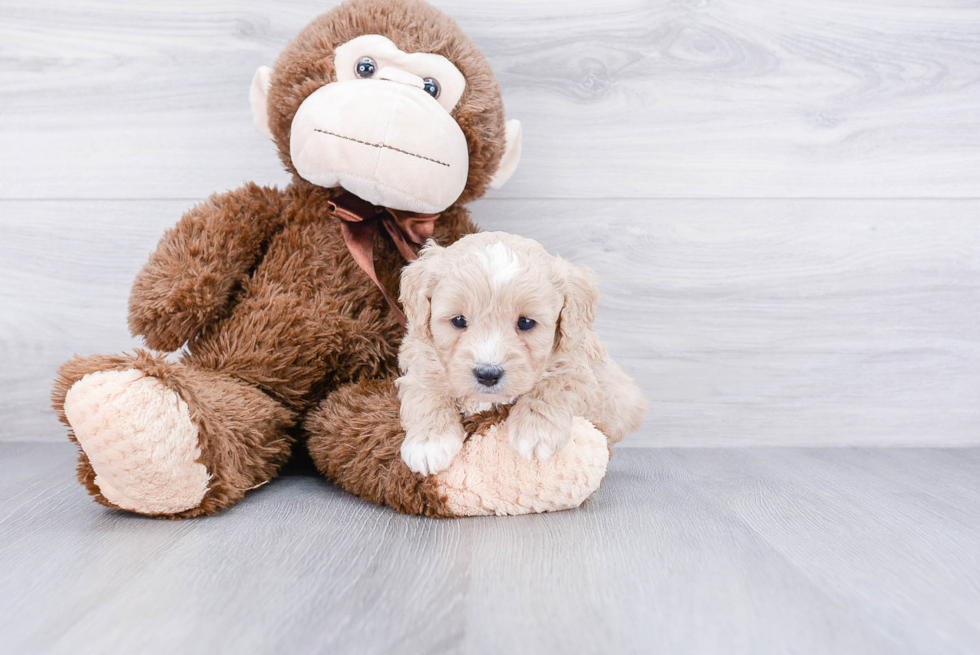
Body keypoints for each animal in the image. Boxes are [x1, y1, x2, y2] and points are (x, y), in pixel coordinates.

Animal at [394, 232, 648, 476]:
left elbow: (554, 385)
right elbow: (427, 392)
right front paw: (429, 443)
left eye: (526, 323)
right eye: (458, 320)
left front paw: (536, 431)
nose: (488, 374)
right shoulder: (421, 360)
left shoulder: (584, 371)